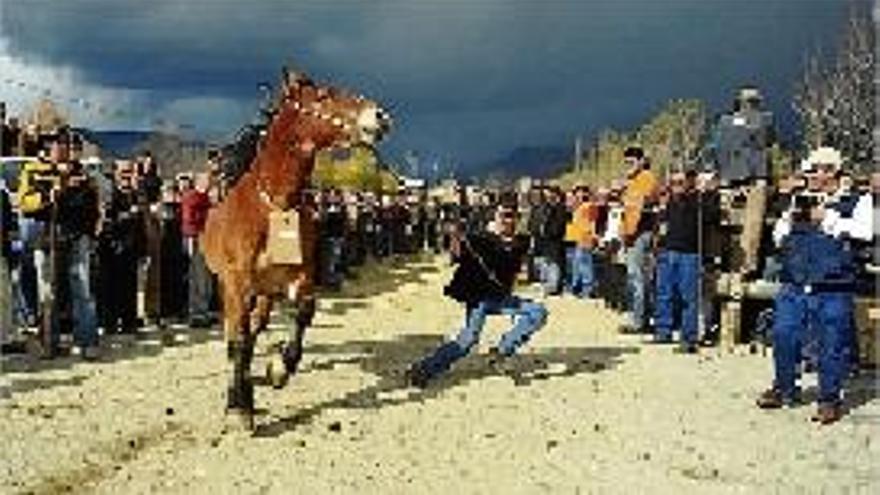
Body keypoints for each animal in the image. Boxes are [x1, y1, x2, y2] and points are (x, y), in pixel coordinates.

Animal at [203, 70, 392, 430]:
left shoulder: (301, 276)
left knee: (257, 325)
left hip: (265, 292)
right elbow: (239, 340)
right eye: (323, 95)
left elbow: (303, 313)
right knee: (238, 334)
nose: (380, 116)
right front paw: (238, 406)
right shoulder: (236, 283)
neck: (274, 207)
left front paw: (278, 369)